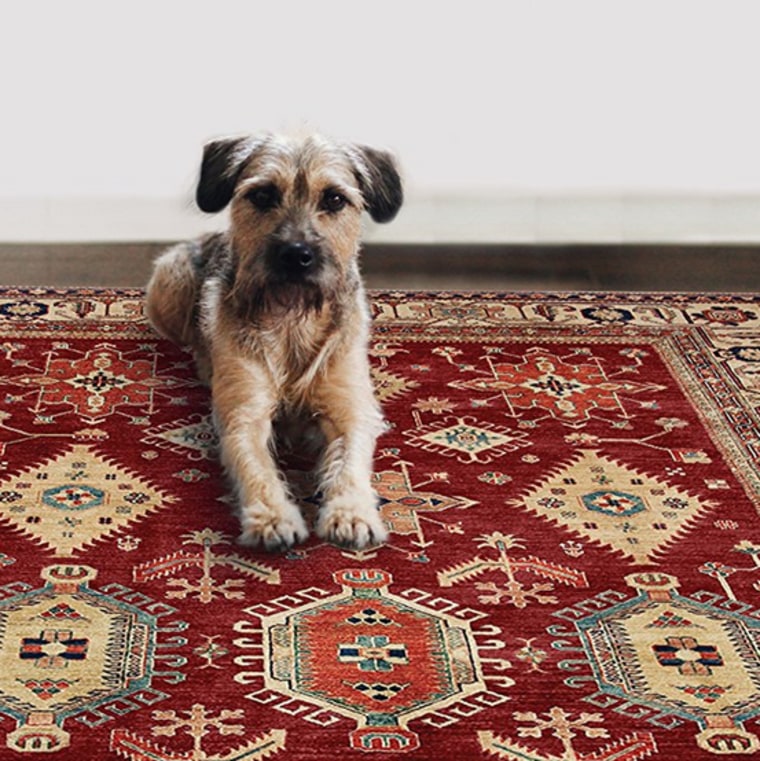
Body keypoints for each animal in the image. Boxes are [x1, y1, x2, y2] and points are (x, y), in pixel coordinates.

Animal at [144, 132, 404, 552]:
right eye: (263, 194)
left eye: (334, 199)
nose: (296, 255)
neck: (292, 320)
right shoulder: (243, 412)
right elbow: (256, 464)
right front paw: (272, 518)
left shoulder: (349, 408)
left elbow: (350, 461)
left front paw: (351, 513)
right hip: (171, 278)